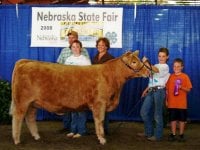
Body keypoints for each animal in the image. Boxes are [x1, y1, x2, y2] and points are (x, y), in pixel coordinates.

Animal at [10, 50, 159, 145]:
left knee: (30, 118)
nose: (148, 71)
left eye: (138, 60)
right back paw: (16, 140)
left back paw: (36, 136)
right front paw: (102, 139)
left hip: (33, 103)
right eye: (133, 62)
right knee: (18, 118)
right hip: (22, 101)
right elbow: (100, 120)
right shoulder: (100, 103)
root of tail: (25, 61)